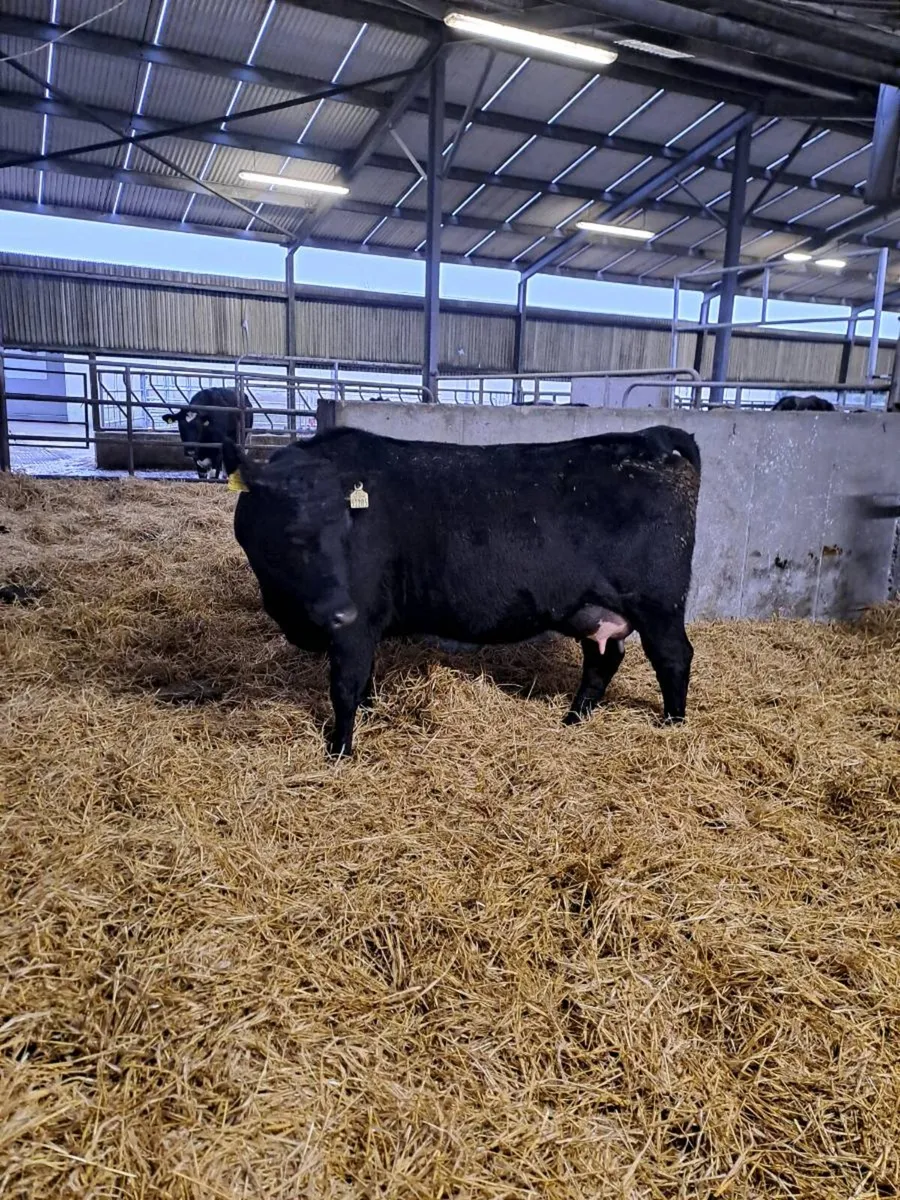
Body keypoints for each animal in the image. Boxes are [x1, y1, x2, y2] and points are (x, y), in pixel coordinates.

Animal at [222, 424, 701, 757]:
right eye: (292, 535)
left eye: (345, 531)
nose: (341, 610)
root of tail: (649, 439)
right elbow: (364, 686)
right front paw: (369, 719)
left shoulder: (359, 625)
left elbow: (345, 687)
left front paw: (339, 752)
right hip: (592, 606)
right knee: (602, 660)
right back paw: (572, 719)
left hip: (658, 603)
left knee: (673, 656)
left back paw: (673, 725)